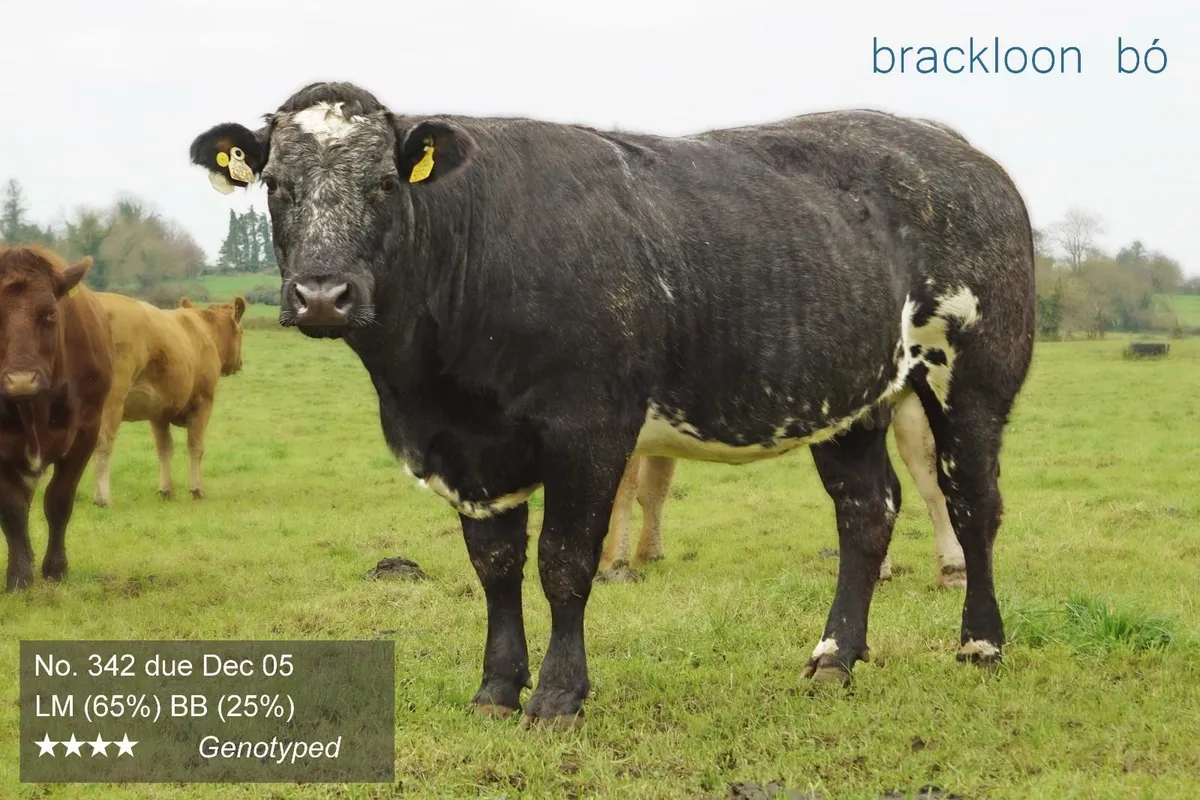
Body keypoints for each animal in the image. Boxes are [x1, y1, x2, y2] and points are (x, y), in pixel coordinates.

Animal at [0, 246, 114, 591]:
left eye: (50, 312)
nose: (20, 380)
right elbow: (12, 508)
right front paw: (19, 575)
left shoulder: (86, 432)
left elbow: (59, 500)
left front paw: (55, 569)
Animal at [90, 293, 246, 507]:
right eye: (242, 332)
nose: (240, 363)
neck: (203, 331)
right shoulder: (203, 403)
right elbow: (195, 446)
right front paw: (197, 489)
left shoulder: (158, 411)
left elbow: (164, 449)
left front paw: (166, 489)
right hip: (112, 402)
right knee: (103, 443)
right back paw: (102, 498)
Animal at [599, 401, 970, 591]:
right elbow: (654, 488)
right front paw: (649, 553)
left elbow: (626, 487)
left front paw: (615, 563)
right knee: (923, 483)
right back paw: (941, 570)